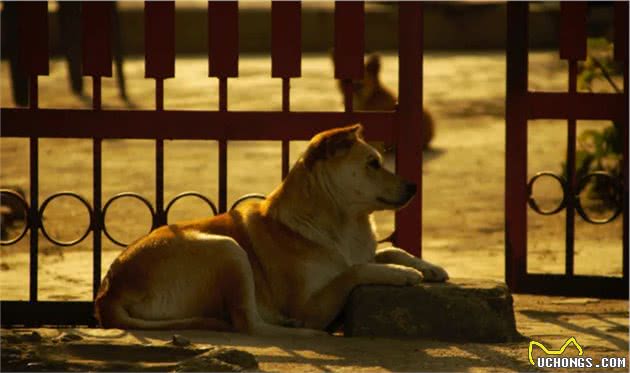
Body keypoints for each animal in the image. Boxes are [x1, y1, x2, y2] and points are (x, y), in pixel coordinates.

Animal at [95, 124, 450, 334]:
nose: (414, 187)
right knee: (248, 323)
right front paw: (400, 274)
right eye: (373, 164)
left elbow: (389, 249)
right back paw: (301, 329)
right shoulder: (308, 302)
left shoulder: (362, 251)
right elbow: (354, 270)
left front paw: (428, 267)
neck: (344, 224)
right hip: (227, 248)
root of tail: (108, 293)